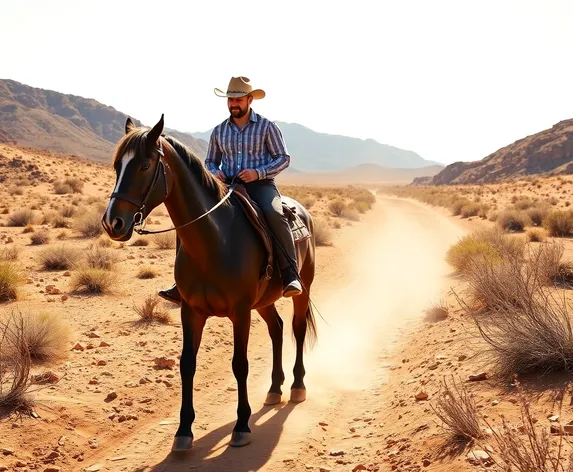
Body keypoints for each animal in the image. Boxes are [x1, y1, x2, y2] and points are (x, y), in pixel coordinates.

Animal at [101, 116, 318, 452]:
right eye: (117, 166)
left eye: (145, 165)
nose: (113, 223)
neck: (215, 240)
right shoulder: (190, 311)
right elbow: (186, 364)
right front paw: (183, 431)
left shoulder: (240, 312)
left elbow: (239, 364)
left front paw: (241, 425)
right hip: (264, 301)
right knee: (277, 329)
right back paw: (273, 389)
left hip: (301, 289)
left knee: (295, 328)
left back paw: (296, 386)